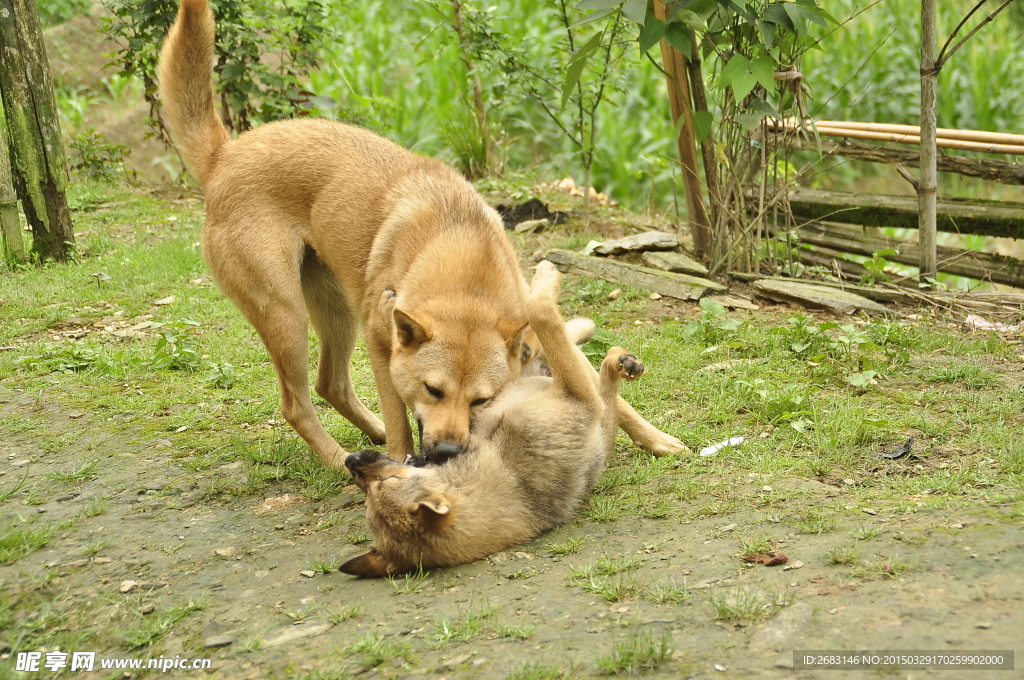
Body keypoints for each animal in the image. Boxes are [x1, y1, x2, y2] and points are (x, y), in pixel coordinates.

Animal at [159, 0, 532, 466]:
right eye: (432, 390)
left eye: (481, 400)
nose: (446, 451)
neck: (464, 257)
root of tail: (225, 155)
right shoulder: (380, 341)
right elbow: (400, 422)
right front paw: (400, 459)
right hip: (286, 315)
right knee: (296, 403)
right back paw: (340, 460)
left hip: (335, 309)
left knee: (330, 385)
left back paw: (368, 438)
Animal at [342, 260, 647, 573]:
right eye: (370, 491)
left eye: (385, 482)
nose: (350, 460)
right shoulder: (582, 398)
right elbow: (543, 313)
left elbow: (541, 317)